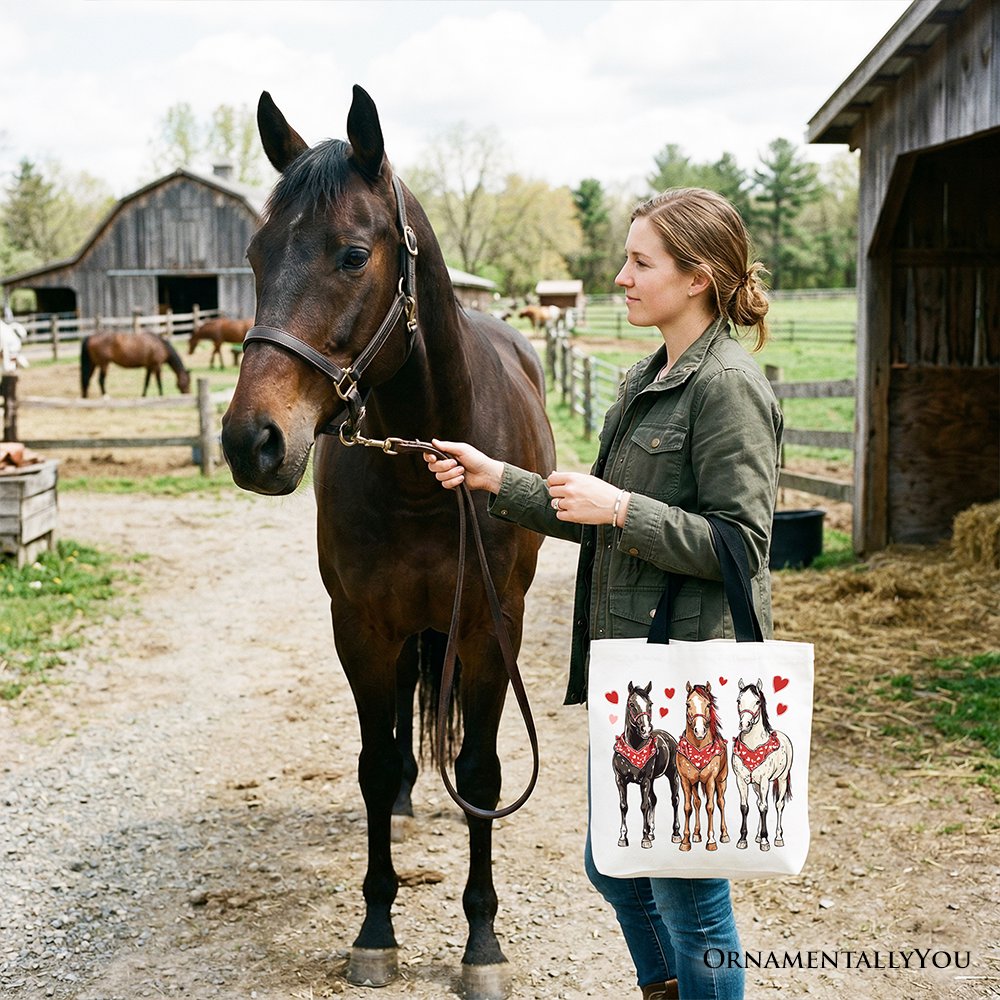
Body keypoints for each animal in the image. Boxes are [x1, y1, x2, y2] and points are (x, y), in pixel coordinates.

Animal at [219, 86, 556, 999]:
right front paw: (376, 929)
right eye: (257, 255)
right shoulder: (362, 627)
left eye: (351, 254)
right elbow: (372, 764)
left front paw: (482, 943)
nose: (251, 441)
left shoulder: (489, 629)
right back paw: (407, 797)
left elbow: (481, 773)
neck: (426, 473)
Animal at [612, 681, 681, 850]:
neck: (635, 749)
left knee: (675, 800)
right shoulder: (620, 780)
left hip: (673, 775)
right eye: (631, 704)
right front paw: (623, 838)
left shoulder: (644, 781)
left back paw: (676, 834)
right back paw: (652, 832)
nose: (646, 729)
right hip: (653, 780)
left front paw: (645, 839)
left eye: (650, 704)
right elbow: (624, 805)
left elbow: (644, 805)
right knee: (654, 799)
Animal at [676, 681, 730, 852]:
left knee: (721, 802)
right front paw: (685, 841)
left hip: (721, 780)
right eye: (688, 704)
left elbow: (710, 807)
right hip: (695, 783)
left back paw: (724, 835)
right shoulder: (685, 780)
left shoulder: (711, 780)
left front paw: (711, 840)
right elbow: (688, 807)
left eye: (708, 704)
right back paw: (696, 834)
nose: (699, 731)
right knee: (697, 803)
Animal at [732, 679, 794, 851]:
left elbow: (764, 807)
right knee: (759, 801)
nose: (744, 724)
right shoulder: (741, 780)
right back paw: (758, 836)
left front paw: (766, 841)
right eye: (738, 700)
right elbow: (745, 807)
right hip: (756, 785)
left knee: (778, 805)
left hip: (782, 779)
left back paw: (778, 838)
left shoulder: (765, 780)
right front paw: (743, 839)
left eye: (757, 701)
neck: (753, 746)